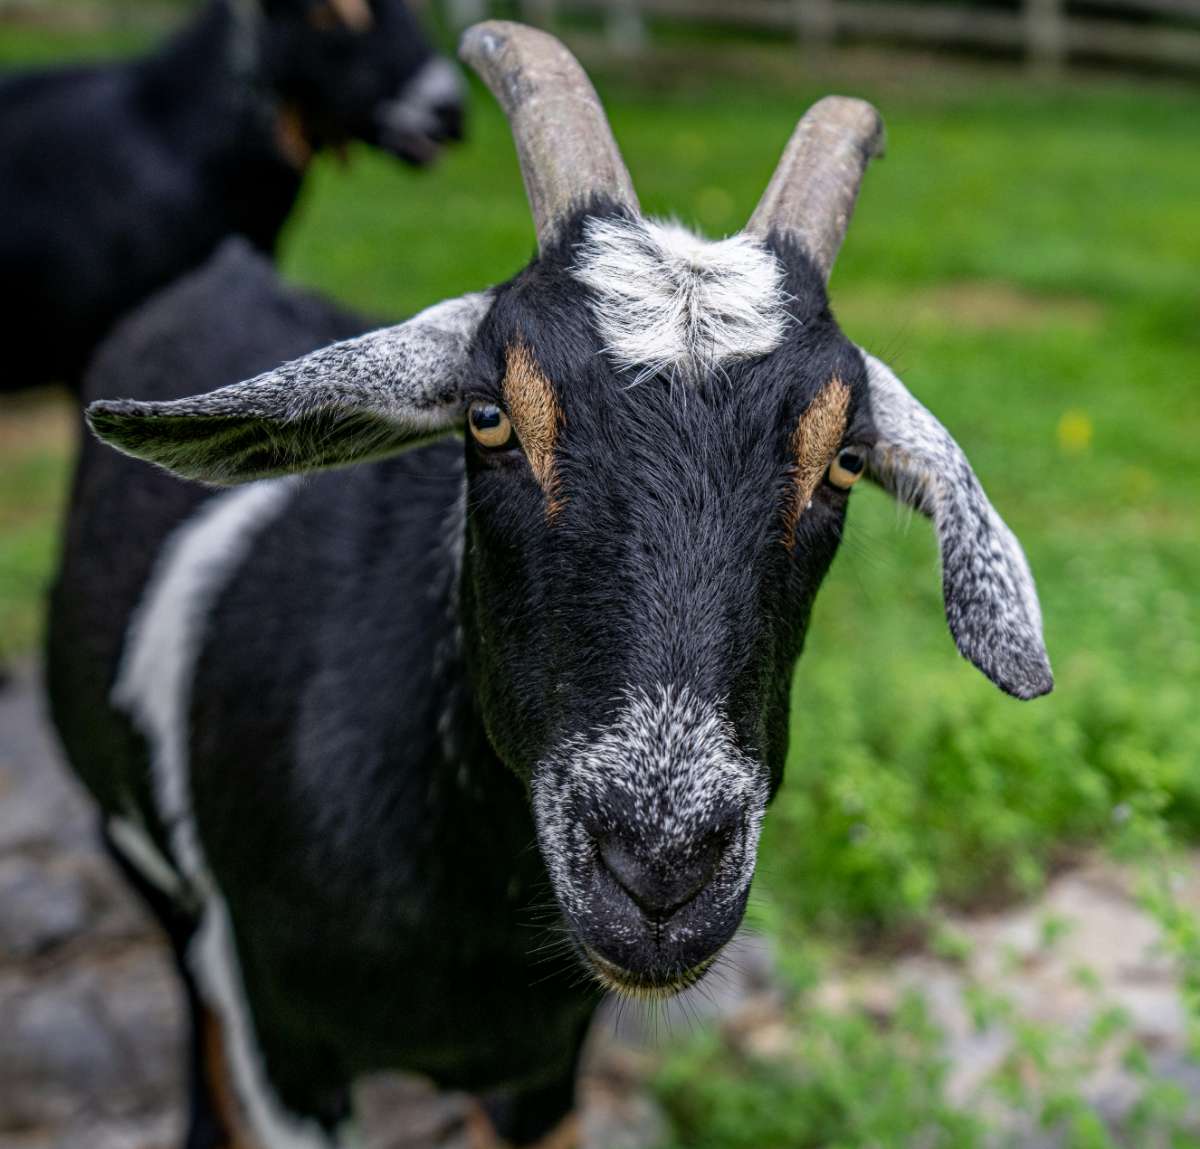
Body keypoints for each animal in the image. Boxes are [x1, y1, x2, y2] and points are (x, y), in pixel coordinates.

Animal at [49, 21, 1053, 1149]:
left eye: (842, 458)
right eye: (489, 415)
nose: (661, 869)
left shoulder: (545, 1067)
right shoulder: (285, 1046)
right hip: (140, 860)